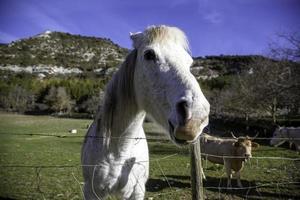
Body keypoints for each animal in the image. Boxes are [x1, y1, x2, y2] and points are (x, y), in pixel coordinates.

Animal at [81, 25, 210, 200]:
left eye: (189, 62)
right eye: (149, 54)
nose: (196, 117)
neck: (119, 151)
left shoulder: (137, 190)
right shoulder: (92, 191)